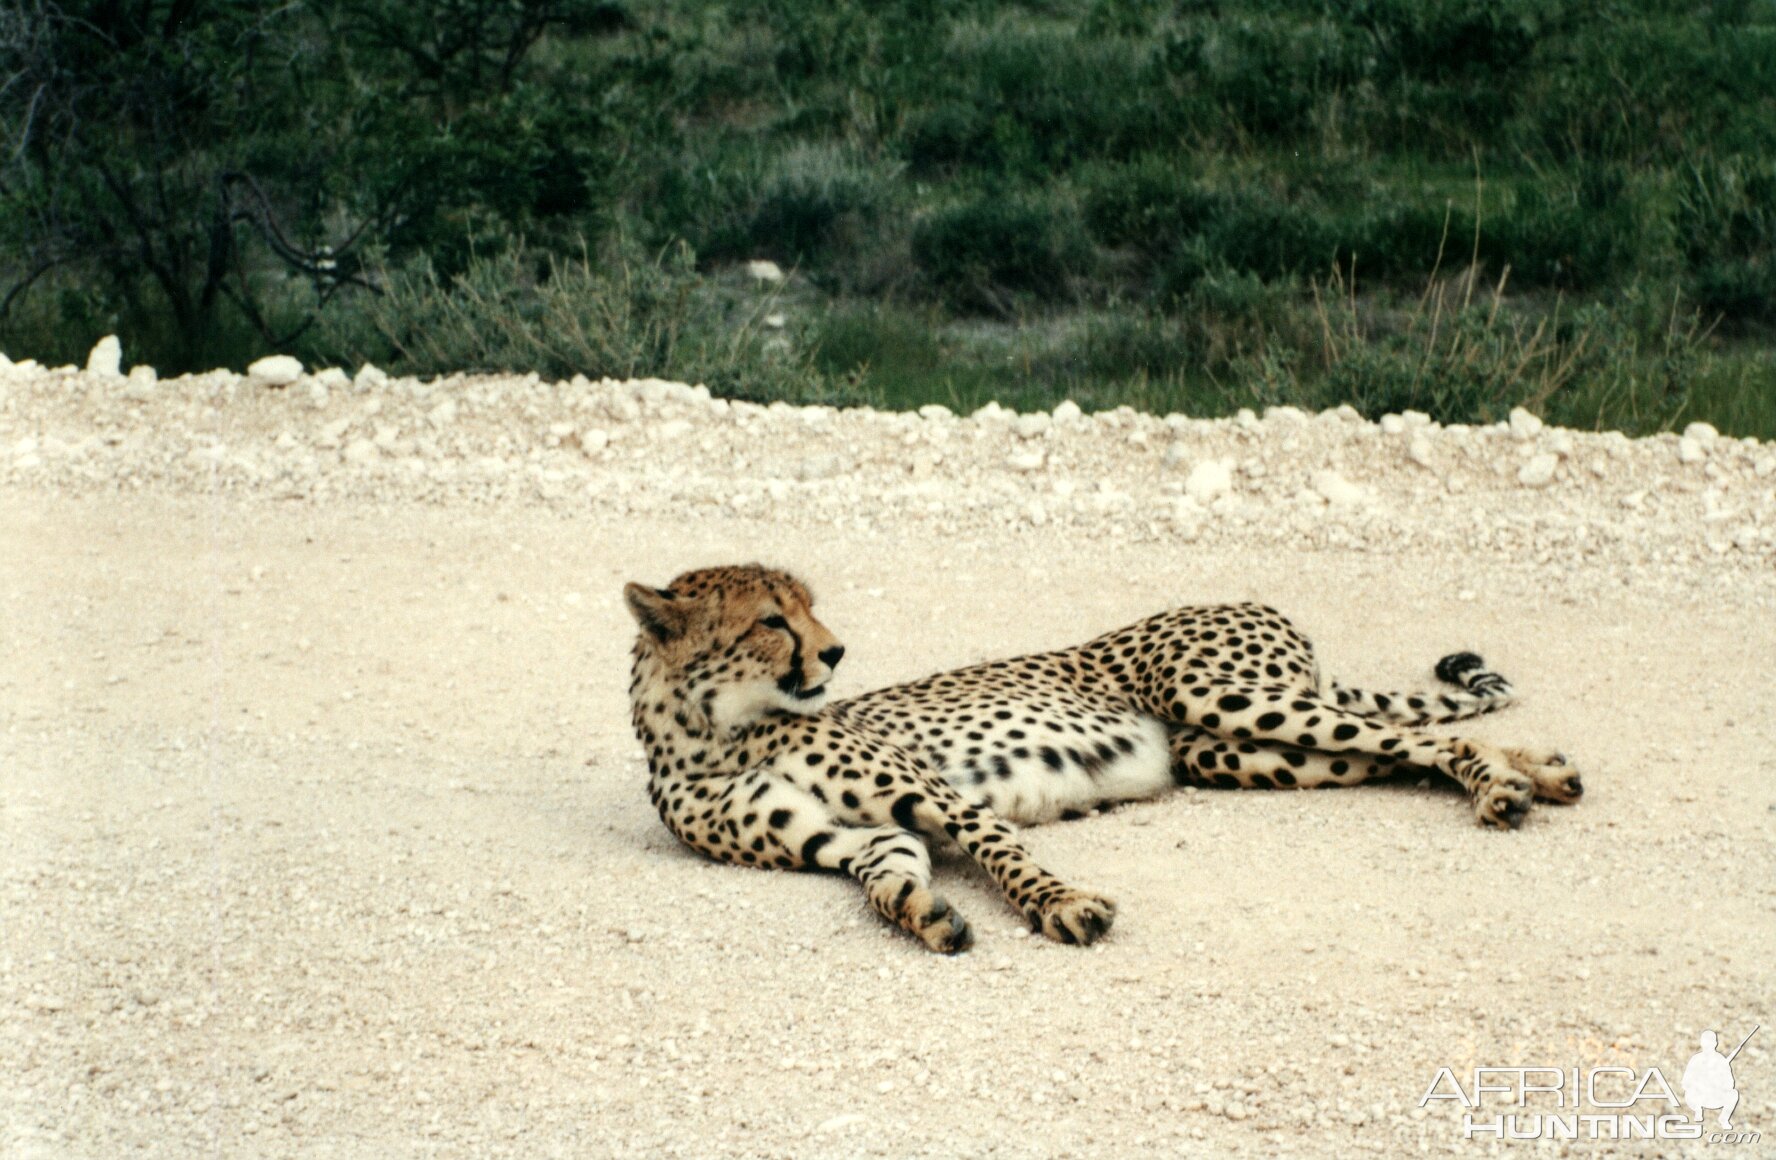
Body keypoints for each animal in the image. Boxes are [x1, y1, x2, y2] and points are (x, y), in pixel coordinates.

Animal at [625, 561, 1584, 952]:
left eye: (806, 608)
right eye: (770, 619)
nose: (835, 652)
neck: (714, 731)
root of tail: (1254, 604)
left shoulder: (936, 794)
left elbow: (1005, 853)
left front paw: (1064, 907)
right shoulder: (857, 834)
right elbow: (889, 879)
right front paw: (928, 916)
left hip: (1224, 697)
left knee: (1429, 737)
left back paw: (1505, 787)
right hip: (1236, 751)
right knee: (1402, 750)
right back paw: (1536, 770)